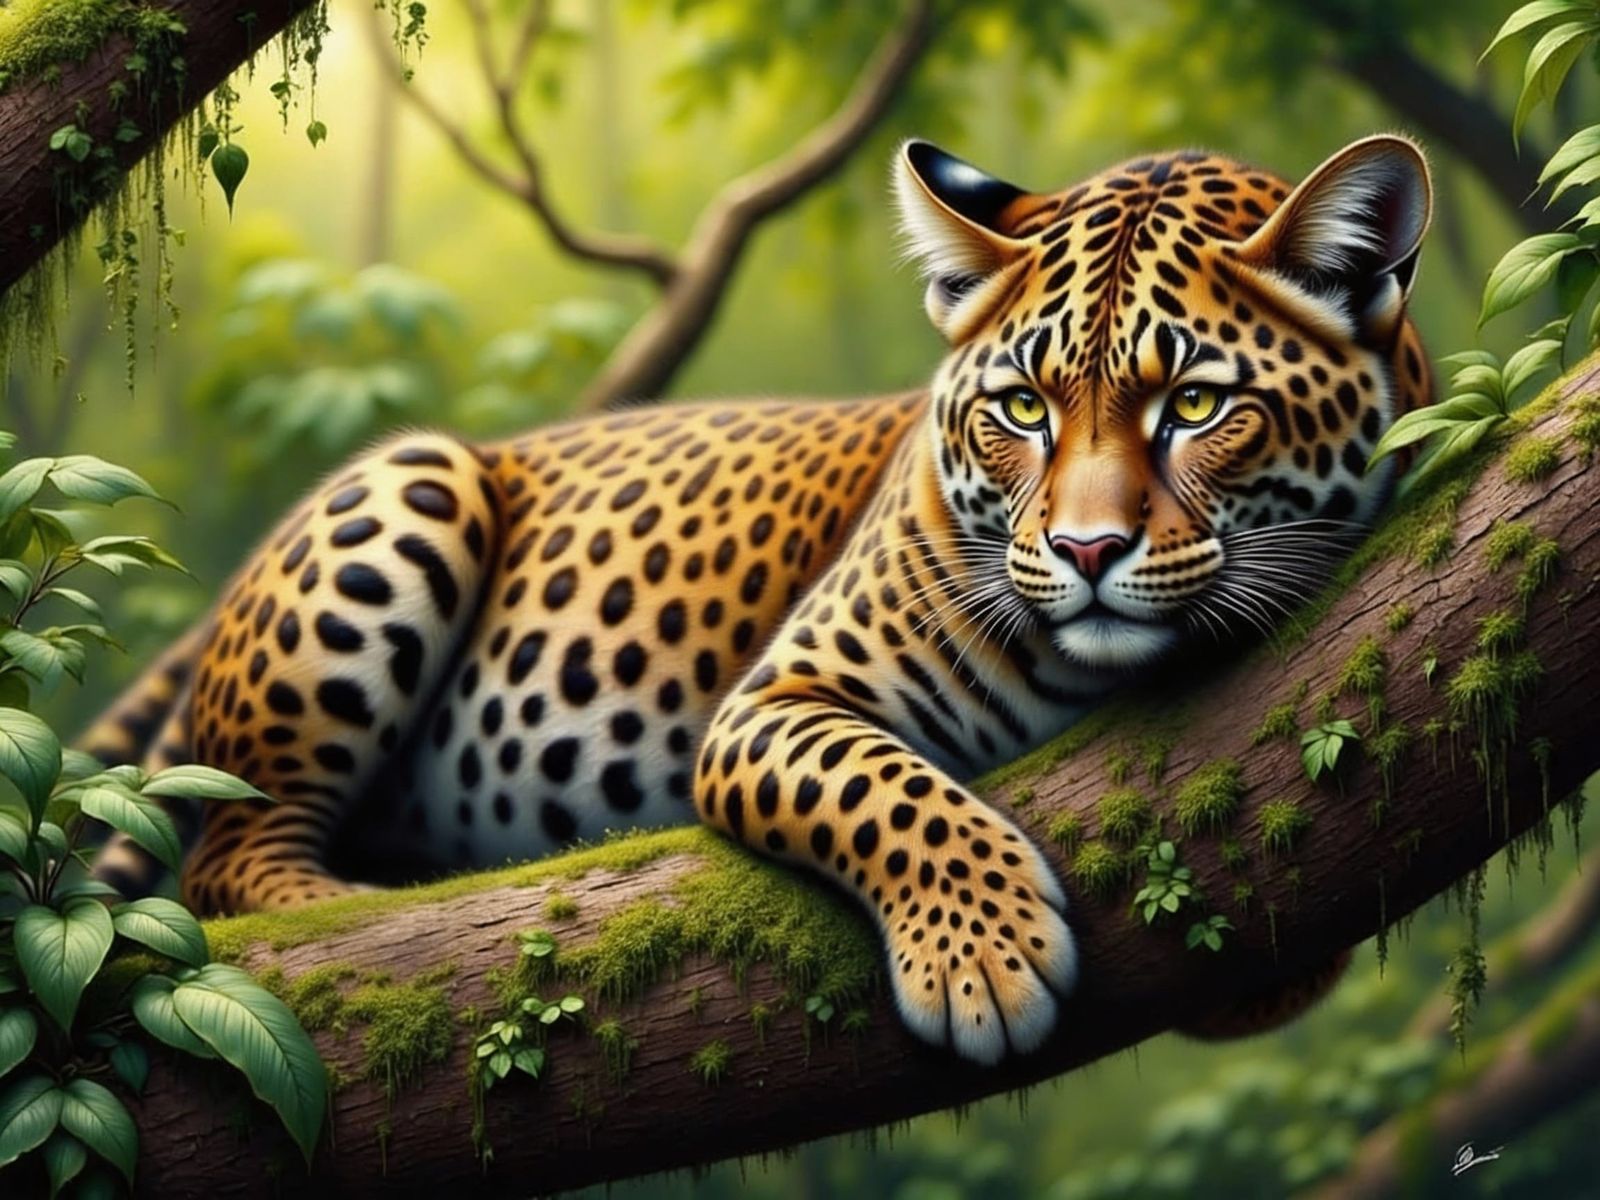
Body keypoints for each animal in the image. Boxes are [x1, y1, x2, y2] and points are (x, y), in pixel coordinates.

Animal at [82, 134, 1432, 1064]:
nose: (1087, 547)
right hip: (412, 486)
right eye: (1023, 408)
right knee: (229, 856)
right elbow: (886, 790)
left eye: (1195, 406)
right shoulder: (772, 702)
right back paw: (369, 910)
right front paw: (985, 961)